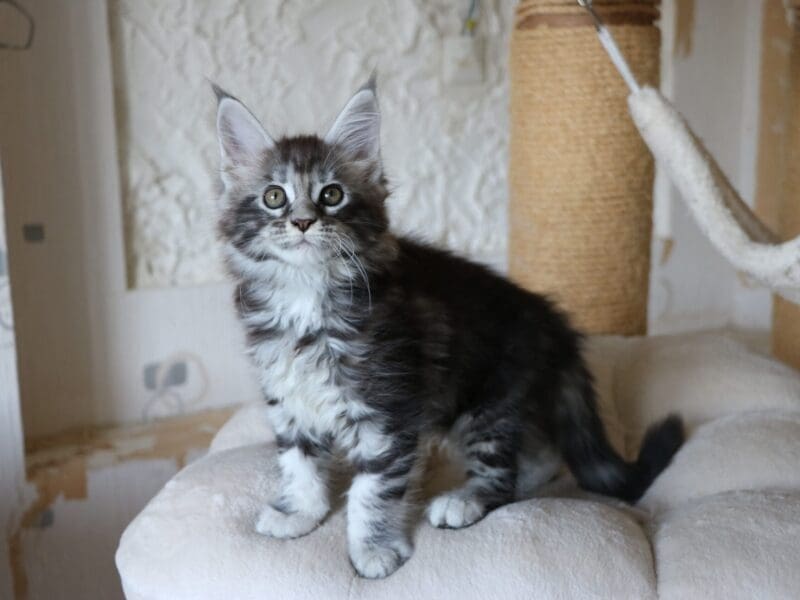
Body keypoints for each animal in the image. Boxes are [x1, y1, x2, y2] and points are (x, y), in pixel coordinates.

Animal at [212, 77, 680, 580]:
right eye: (274, 197)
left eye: (332, 195)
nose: (302, 221)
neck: (305, 296)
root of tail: (548, 318)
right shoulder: (289, 397)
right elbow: (299, 463)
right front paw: (300, 513)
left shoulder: (390, 410)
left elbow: (371, 490)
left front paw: (373, 550)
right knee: (542, 454)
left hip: (484, 403)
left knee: (505, 473)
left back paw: (465, 501)